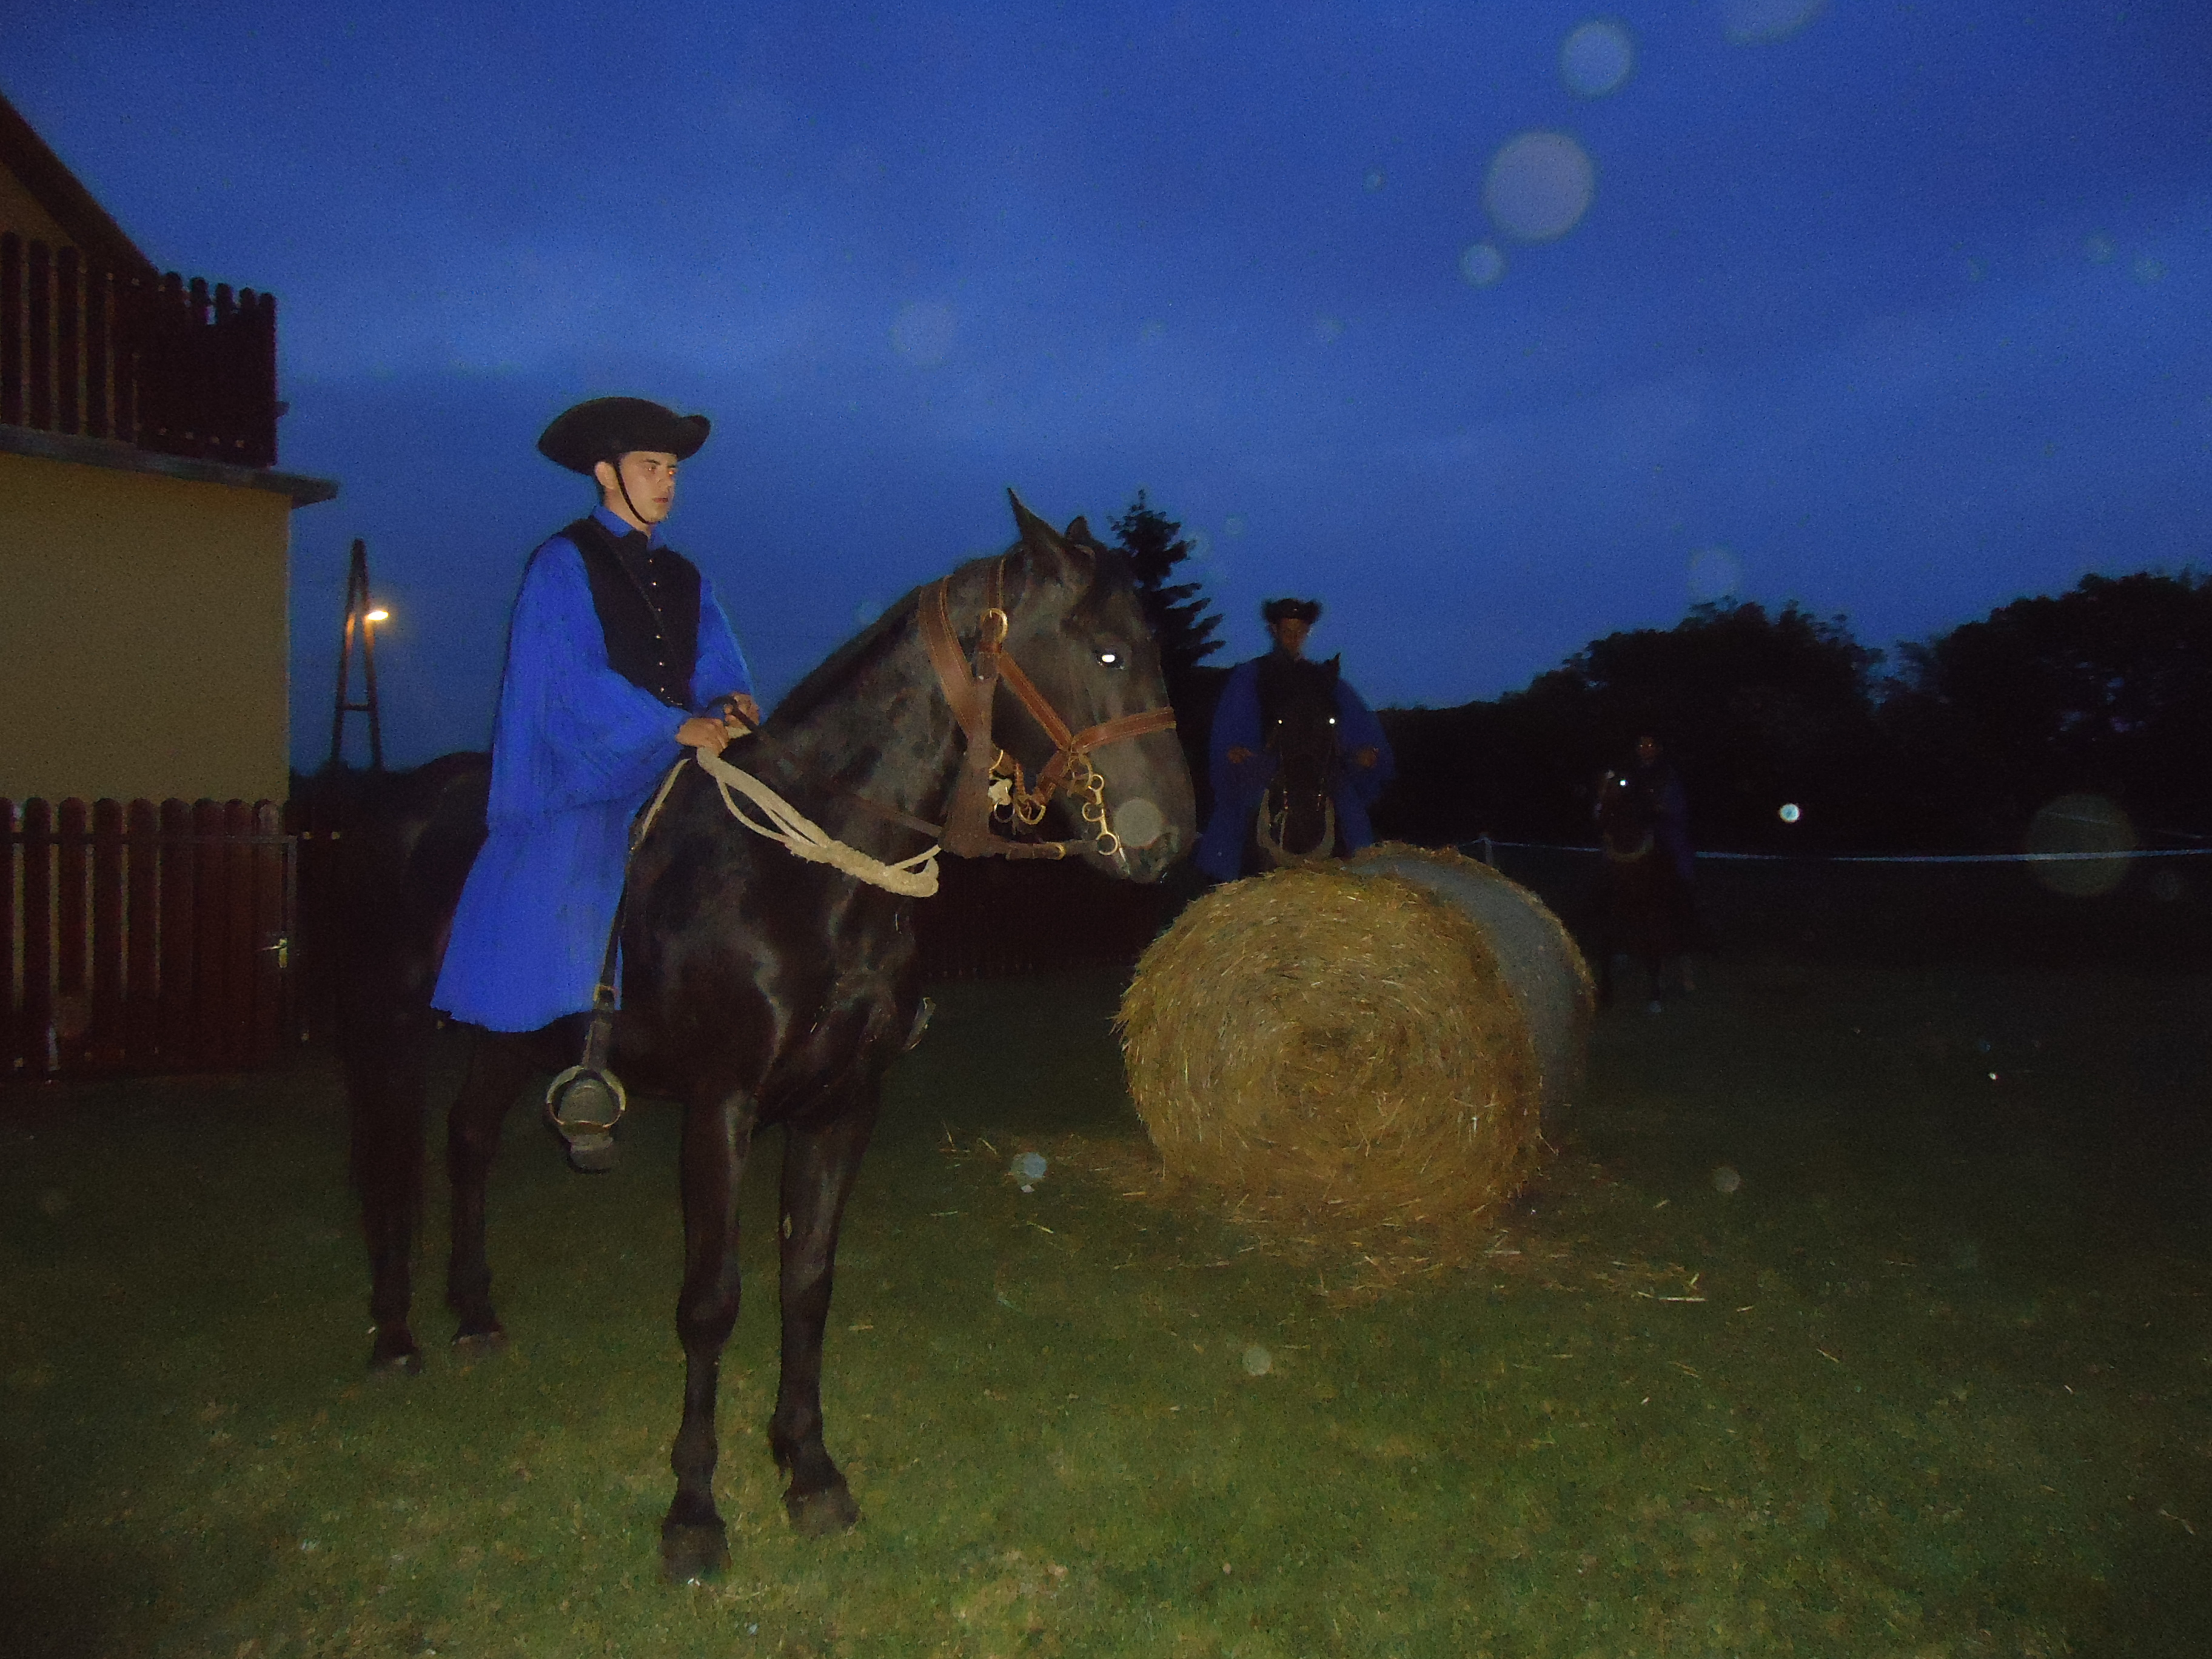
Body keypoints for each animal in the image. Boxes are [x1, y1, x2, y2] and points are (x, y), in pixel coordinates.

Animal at [335, 494, 1196, 1583]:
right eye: (1105, 651)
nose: (1169, 836)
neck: (808, 873)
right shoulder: (722, 1108)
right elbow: (711, 1299)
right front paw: (693, 1509)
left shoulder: (840, 1109)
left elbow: (807, 1284)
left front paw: (808, 1467)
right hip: (388, 1030)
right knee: (391, 1160)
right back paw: (394, 1335)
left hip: (508, 1036)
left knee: (469, 1138)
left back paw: (476, 1316)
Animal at [1590, 767, 1695, 1010]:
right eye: (1600, 782)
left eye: (1623, 783)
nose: (1600, 811)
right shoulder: (1609, 914)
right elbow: (1606, 948)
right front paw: (1606, 995)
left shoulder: (1652, 913)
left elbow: (1652, 948)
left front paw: (1655, 996)